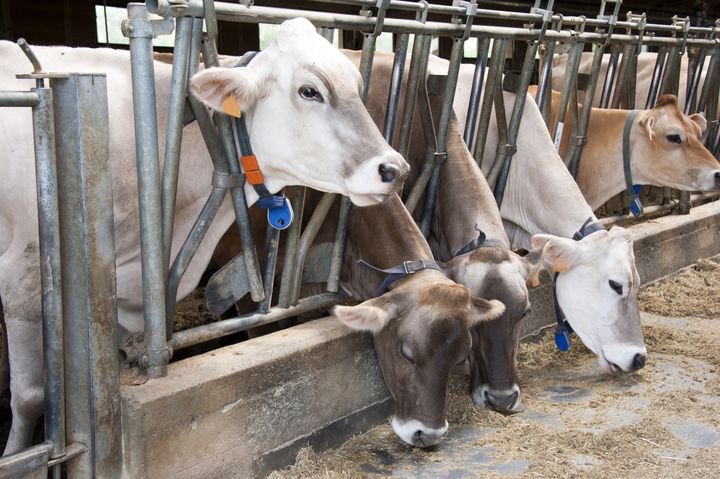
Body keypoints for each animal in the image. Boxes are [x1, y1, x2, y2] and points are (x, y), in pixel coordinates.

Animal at [0, 17, 408, 454]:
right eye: (310, 90)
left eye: (356, 86)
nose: (395, 169)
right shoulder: (22, 283)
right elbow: (30, 397)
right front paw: (17, 453)